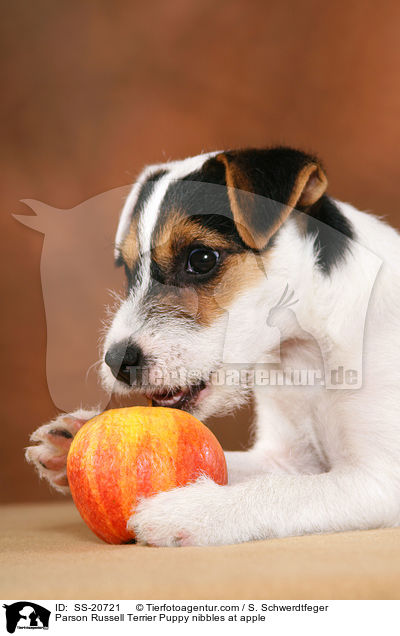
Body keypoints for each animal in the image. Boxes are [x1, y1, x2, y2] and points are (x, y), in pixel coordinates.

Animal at [26, 148, 400, 548]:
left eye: (201, 258)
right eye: (128, 271)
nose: (116, 362)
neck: (306, 353)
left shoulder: (380, 480)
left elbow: (279, 491)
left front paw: (187, 509)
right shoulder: (284, 457)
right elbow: (240, 466)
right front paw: (70, 441)